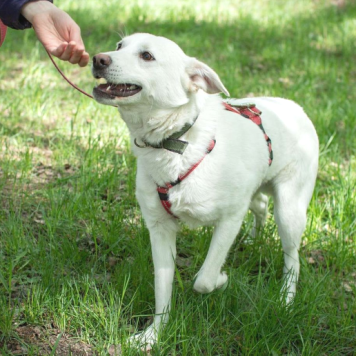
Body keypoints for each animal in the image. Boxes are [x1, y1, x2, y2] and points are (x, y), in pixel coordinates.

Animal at [90, 33, 318, 348]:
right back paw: (251, 240)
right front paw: (154, 334)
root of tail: (296, 107)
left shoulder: (230, 218)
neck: (178, 142)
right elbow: (162, 288)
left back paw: (286, 298)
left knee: (292, 257)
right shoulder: (159, 229)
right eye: (119, 46)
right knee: (260, 206)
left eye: (147, 56)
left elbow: (204, 279)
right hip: (259, 189)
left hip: (289, 209)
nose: (97, 58)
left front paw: (222, 279)